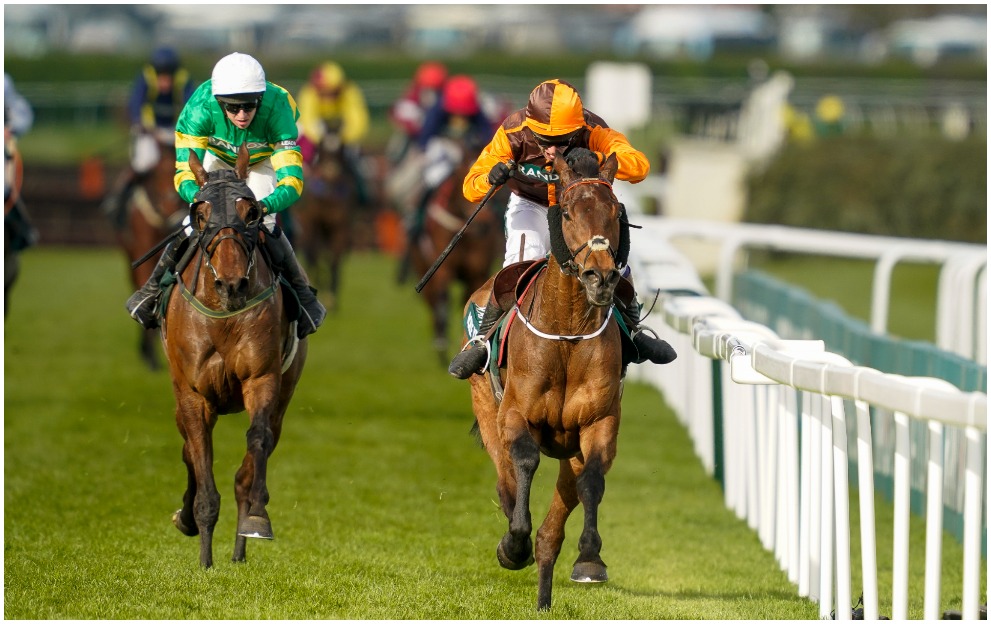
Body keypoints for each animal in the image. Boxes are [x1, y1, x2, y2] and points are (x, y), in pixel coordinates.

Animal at [163, 144, 306, 568]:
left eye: (252, 213)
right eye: (200, 213)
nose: (232, 284)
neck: (223, 316)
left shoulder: (263, 380)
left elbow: (256, 441)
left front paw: (256, 519)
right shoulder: (193, 395)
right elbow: (199, 463)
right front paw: (204, 559)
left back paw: (240, 549)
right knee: (188, 451)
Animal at [294, 121, 356, 312]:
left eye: (342, 148)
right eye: (321, 147)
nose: (330, 171)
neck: (328, 196)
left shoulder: (341, 226)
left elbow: (334, 259)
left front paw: (333, 298)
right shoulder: (311, 222)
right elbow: (313, 254)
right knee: (313, 254)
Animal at [410, 136, 504, 360]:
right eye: (464, 175)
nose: (485, 225)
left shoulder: (477, 272)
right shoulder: (444, 269)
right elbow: (443, 301)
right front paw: (442, 344)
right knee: (434, 303)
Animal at [464, 150, 628, 608]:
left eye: (615, 211)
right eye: (568, 212)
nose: (600, 277)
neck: (567, 331)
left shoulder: (599, 421)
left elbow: (593, 479)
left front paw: (590, 558)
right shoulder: (515, 415)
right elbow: (524, 461)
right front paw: (512, 544)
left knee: (556, 522)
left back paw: (544, 591)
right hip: (486, 408)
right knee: (505, 481)